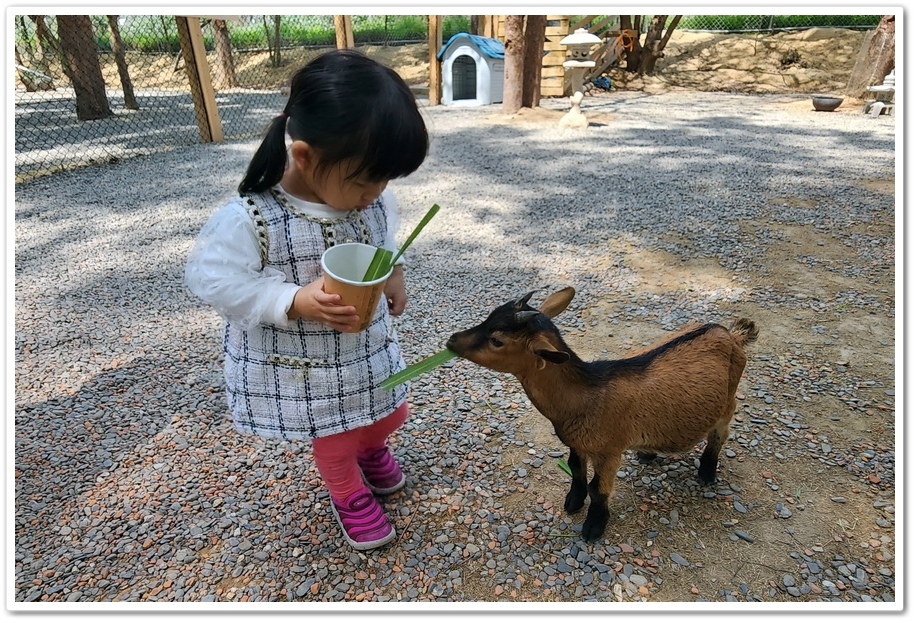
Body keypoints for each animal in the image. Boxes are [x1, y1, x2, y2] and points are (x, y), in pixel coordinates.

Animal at [446, 288, 760, 540]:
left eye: (497, 341)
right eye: (489, 316)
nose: (451, 340)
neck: (586, 396)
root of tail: (731, 334)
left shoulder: (610, 450)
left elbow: (599, 489)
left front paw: (593, 527)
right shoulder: (576, 441)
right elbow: (575, 467)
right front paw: (573, 501)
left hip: (728, 398)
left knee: (721, 431)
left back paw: (707, 473)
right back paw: (648, 453)